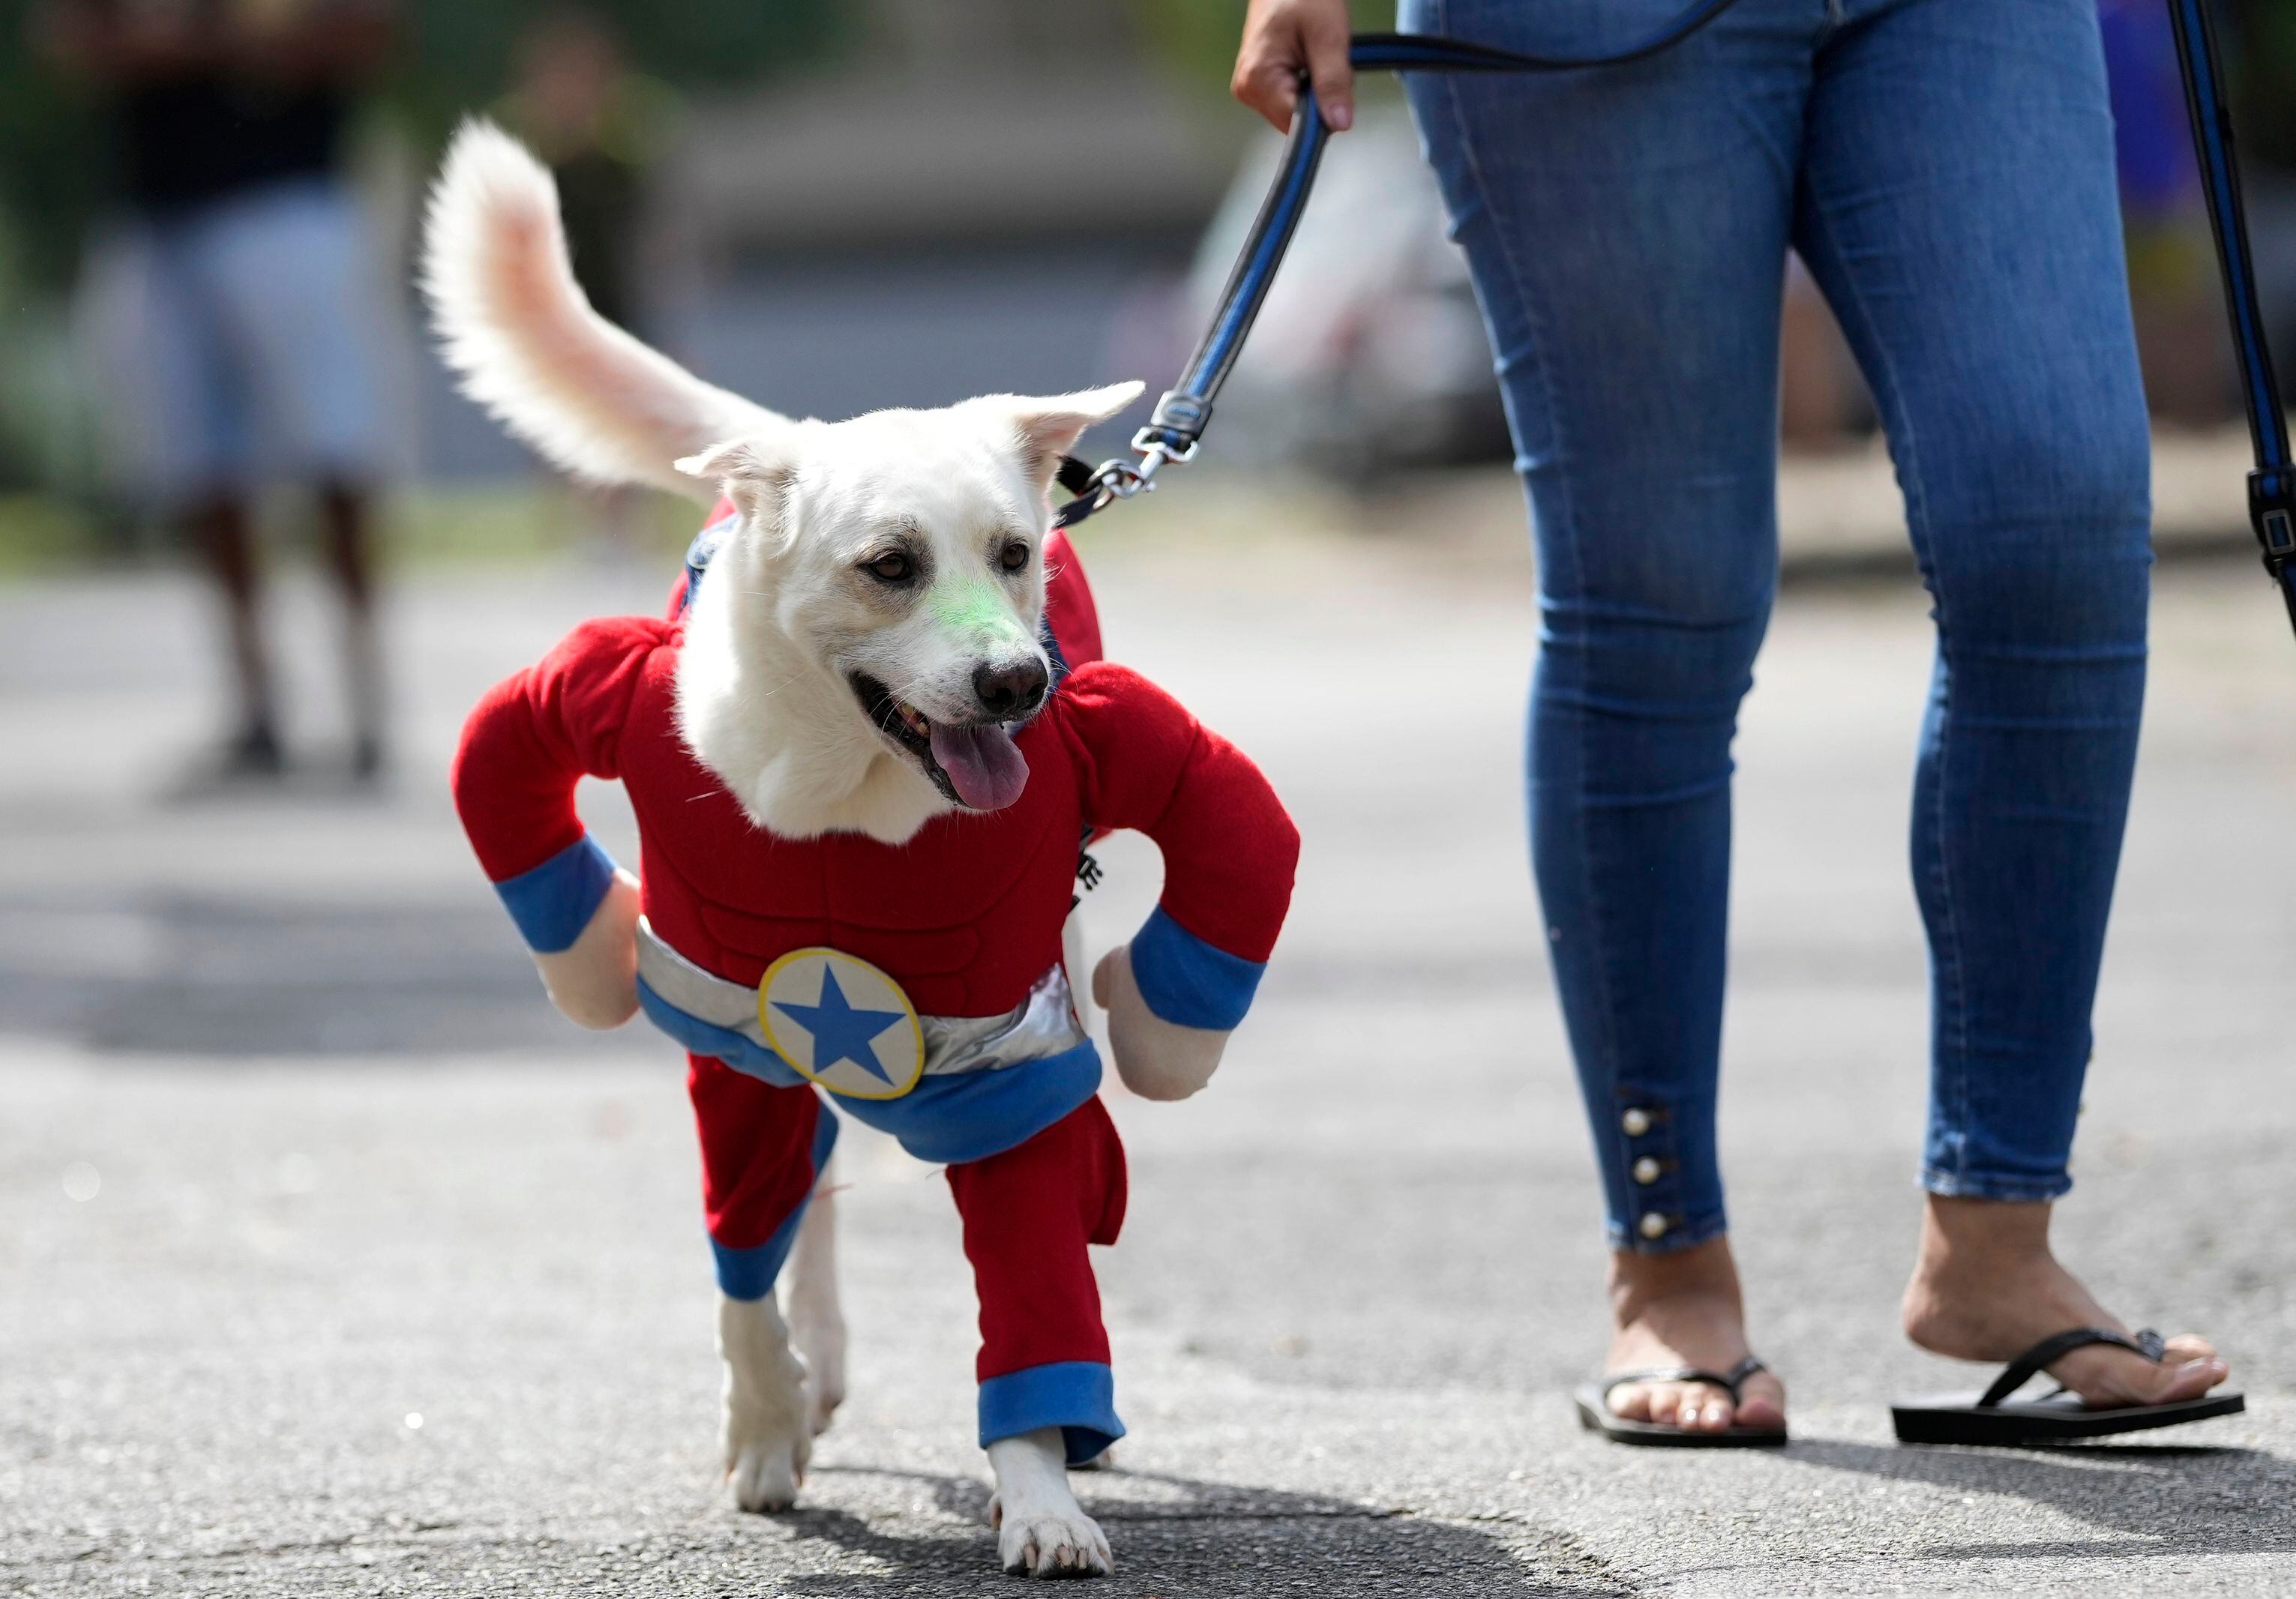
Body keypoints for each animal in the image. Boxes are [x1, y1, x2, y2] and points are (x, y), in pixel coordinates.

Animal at [422, 121, 1248, 1569]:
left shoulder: (1009, 1051)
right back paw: (805, 1384)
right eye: (889, 565)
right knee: (803, 1207)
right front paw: (764, 1421)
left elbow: (1034, 1281)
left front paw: (1040, 1490)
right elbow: (741, 1265)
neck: (845, 799)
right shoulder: (731, 1032)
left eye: (1014, 552)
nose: (1020, 685)